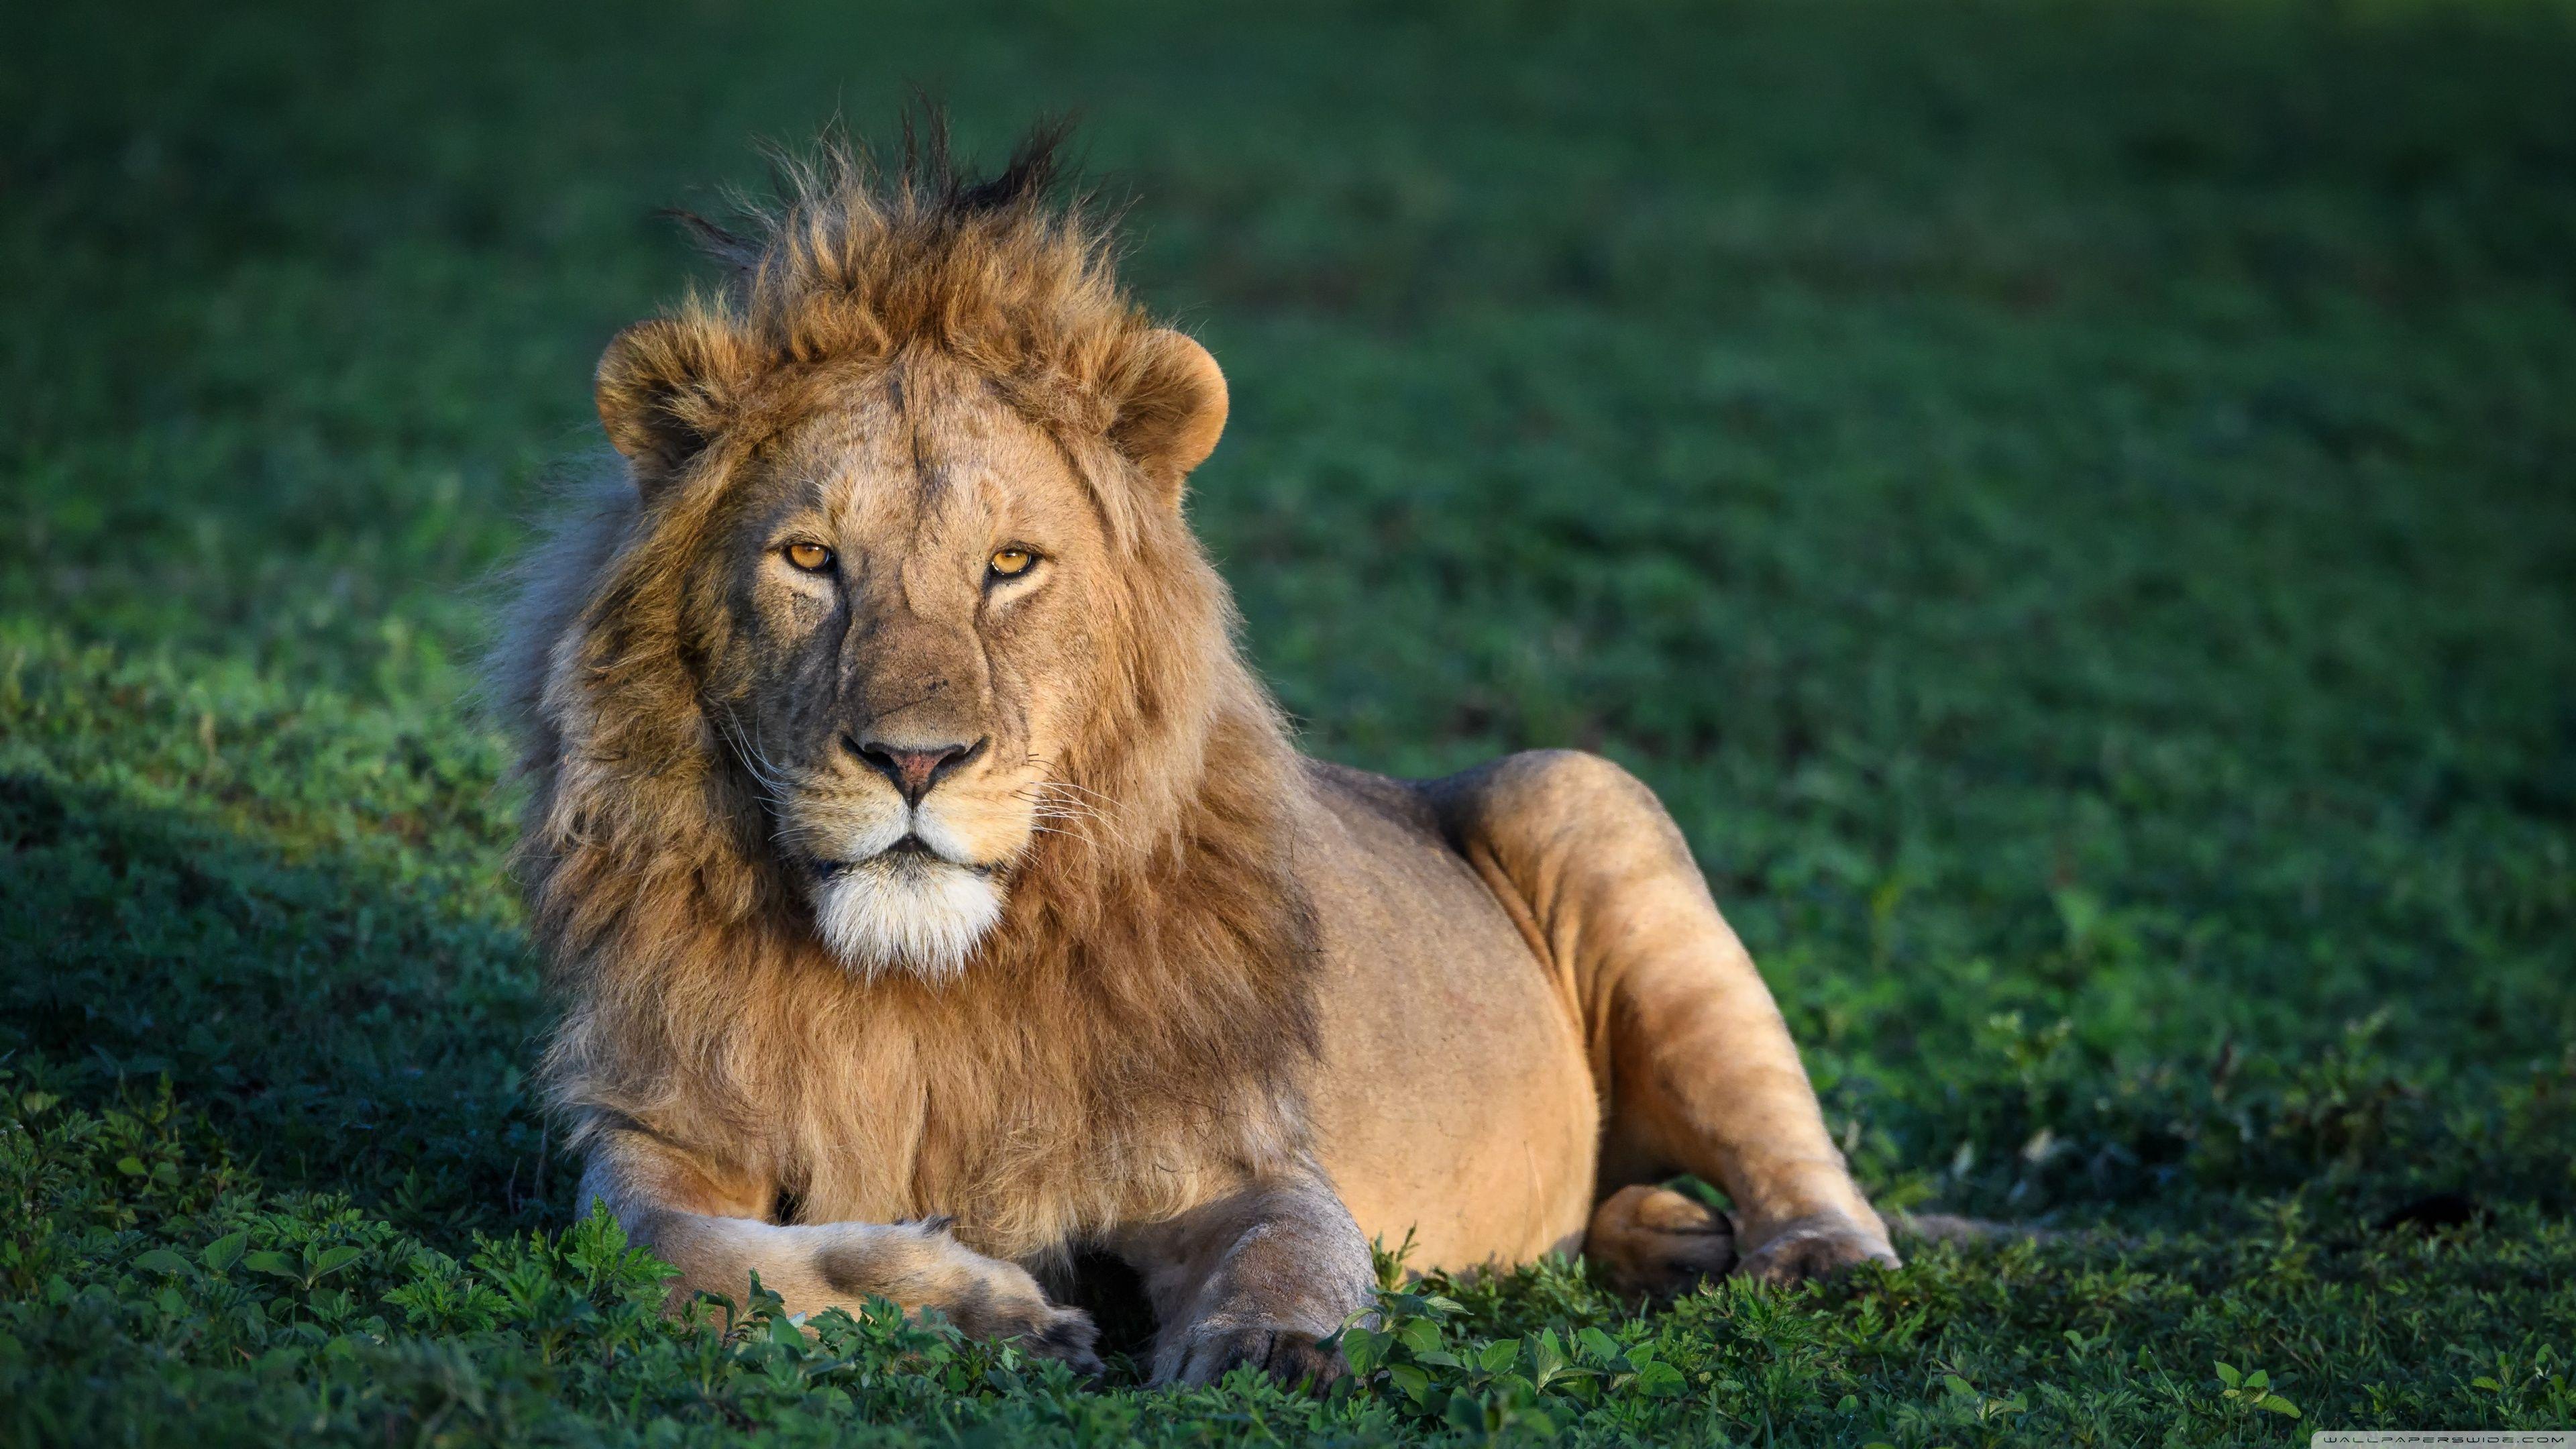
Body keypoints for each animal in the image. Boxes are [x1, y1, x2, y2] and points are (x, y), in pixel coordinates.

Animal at [493, 122, 1895, 1387]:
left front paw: (1273, 1349)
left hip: (1579, 791)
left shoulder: (1235, 1156)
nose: (916, 762)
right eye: (809, 559)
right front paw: (985, 1312)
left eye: (1011, 566)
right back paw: (1668, 1240)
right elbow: (679, 1249)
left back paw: (1813, 1263)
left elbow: (1296, 1249)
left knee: (1807, 1163)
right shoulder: (651, 1128)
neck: (916, 997)